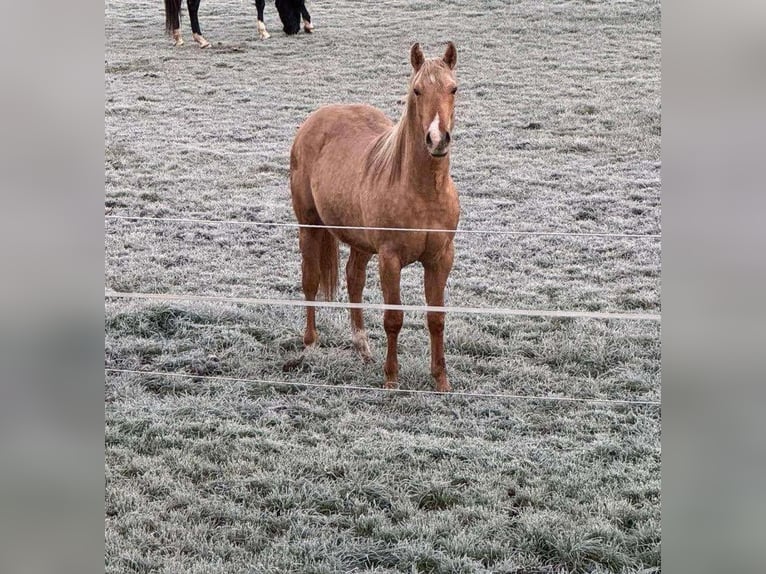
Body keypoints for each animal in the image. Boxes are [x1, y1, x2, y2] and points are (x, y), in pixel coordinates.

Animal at [165, 0, 316, 46]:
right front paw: (263, 31)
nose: (291, 30)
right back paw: (201, 39)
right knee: (192, 5)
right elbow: (260, 4)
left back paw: (178, 37)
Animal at [290, 42, 460, 394]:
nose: (437, 139)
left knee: (353, 278)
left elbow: (436, 318)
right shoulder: (389, 258)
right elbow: (393, 319)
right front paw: (391, 378)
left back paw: (362, 347)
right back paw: (310, 342)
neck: (423, 192)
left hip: (359, 242)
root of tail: (316, 119)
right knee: (310, 281)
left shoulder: (441, 257)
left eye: (453, 89)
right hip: (309, 227)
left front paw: (441, 380)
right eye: (417, 90)